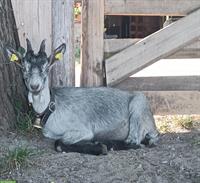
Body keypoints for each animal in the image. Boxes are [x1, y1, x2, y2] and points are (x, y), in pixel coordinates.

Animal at [6, 39, 159, 155]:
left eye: (46, 68)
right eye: (24, 68)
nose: (35, 86)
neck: (52, 106)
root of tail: (153, 126)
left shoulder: (83, 130)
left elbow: (60, 142)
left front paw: (97, 147)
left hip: (138, 106)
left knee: (134, 141)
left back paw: (104, 143)